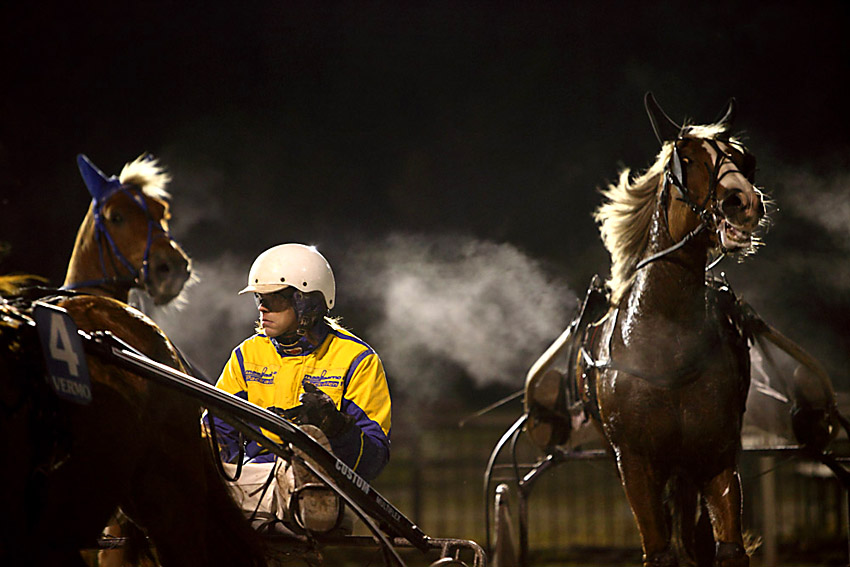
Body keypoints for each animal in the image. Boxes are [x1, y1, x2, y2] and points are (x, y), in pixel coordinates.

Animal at [580, 94, 764, 567]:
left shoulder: (716, 456)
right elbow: (660, 550)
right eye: (687, 159)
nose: (743, 201)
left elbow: (727, 546)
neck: (669, 350)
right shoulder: (635, 463)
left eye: (742, 158)